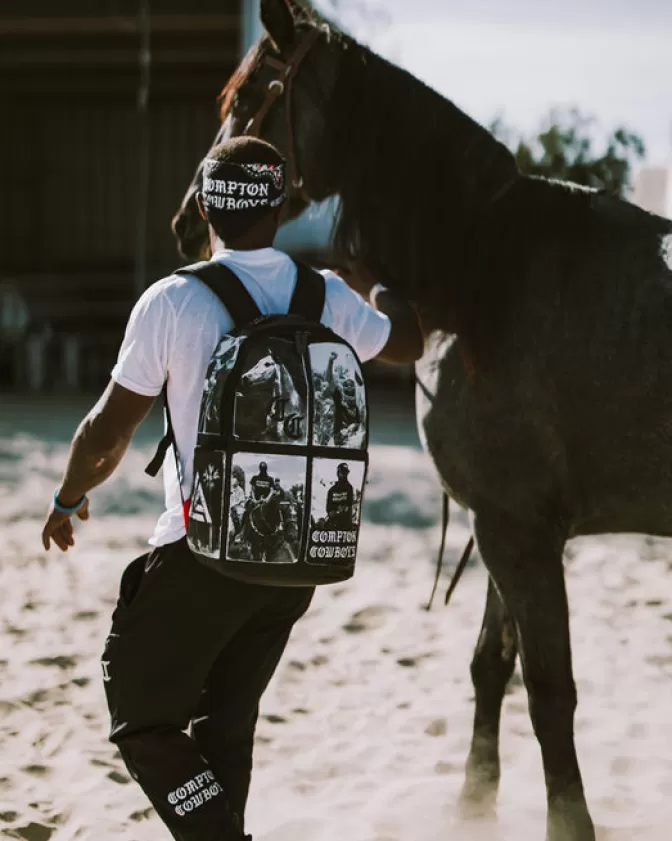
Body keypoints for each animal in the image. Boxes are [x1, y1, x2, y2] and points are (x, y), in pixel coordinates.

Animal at [172, 3, 672, 836]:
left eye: (244, 102)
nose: (188, 221)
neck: (483, 277)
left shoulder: (517, 532)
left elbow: (549, 692)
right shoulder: (505, 526)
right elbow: (491, 666)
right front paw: (473, 802)